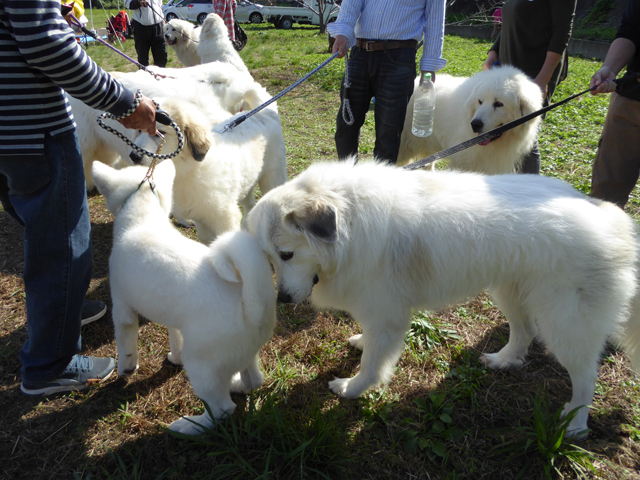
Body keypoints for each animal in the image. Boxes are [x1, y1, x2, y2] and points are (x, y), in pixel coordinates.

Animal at [92, 160, 276, 436]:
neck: (143, 218)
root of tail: (251, 308)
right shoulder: (173, 320)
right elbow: (175, 338)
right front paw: (174, 358)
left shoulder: (122, 309)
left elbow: (125, 345)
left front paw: (126, 369)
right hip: (245, 354)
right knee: (253, 380)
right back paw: (236, 385)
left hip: (201, 365)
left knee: (222, 409)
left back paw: (190, 425)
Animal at [131, 97, 286, 244]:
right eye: (139, 130)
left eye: (160, 133)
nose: (134, 156)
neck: (189, 170)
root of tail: (264, 112)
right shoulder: (200, 218)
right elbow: (207, 242)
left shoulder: (225, 217)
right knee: (250, 204)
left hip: (272, 178)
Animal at [246, 159, 640, 436]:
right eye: (269, 259)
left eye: (286, 255)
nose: (282, 300)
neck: (350, 222)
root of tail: (613, 221)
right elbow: (370, 345)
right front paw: (360, 343)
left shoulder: (387, 317)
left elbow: (372, 365)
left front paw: (352, 389)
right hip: (510, 292)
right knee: (524, 333)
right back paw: (503, 360)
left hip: (565, 324)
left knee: (586, 376)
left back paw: (575, 424)